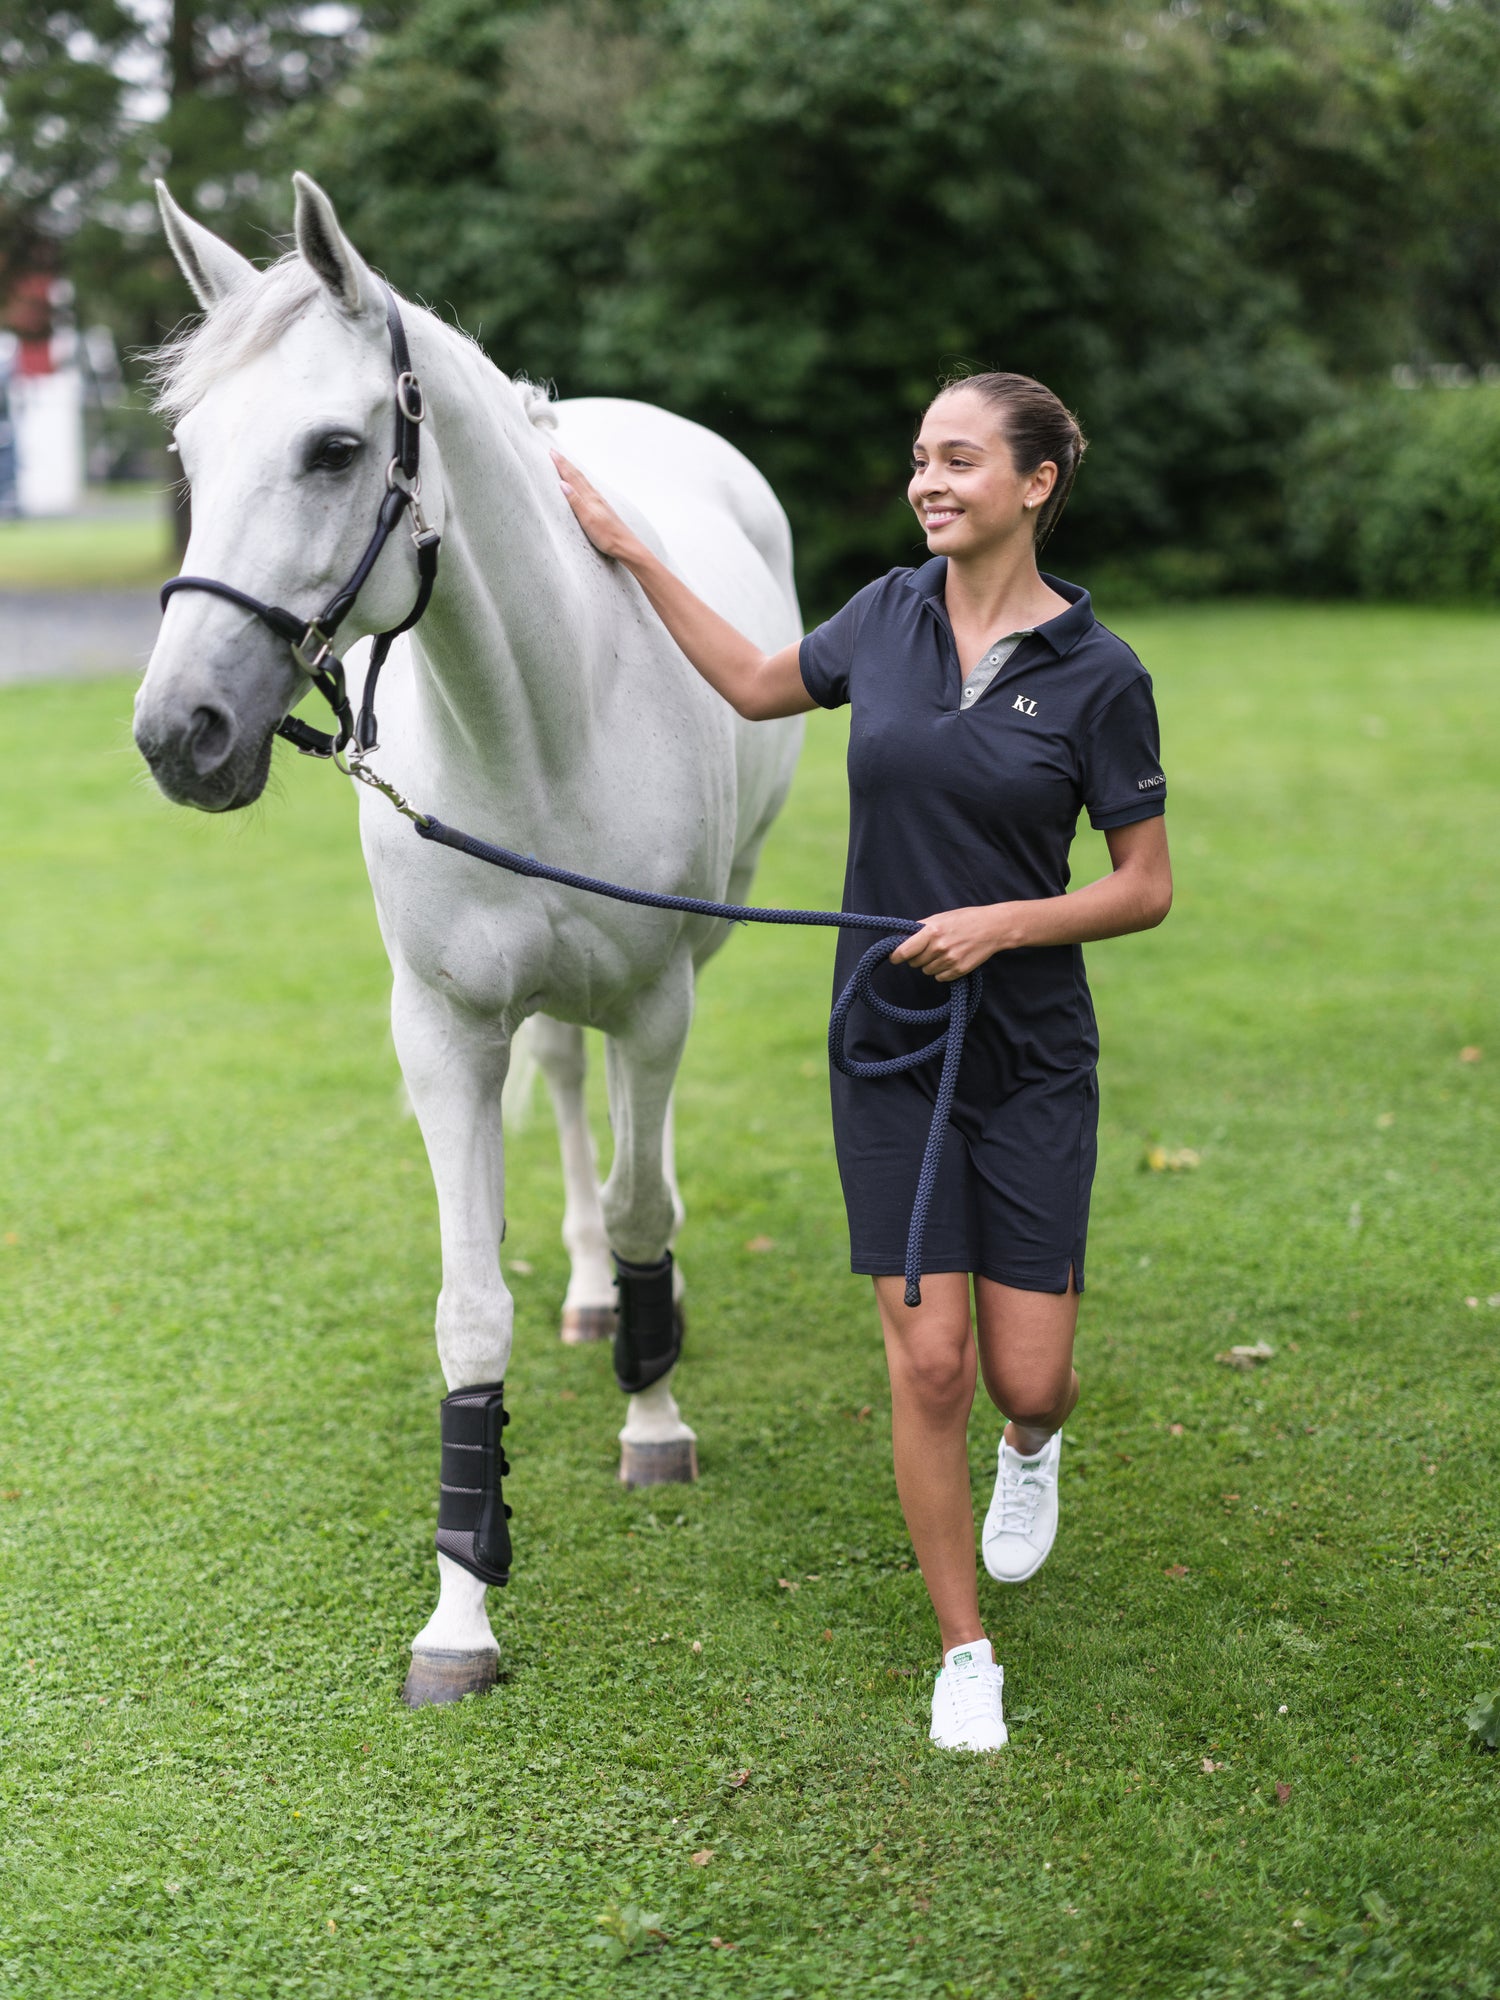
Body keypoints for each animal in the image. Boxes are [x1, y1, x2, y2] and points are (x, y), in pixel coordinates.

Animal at [135, 176, 804, 1704]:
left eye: (334, 449)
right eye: (190, 451)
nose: (178, 734)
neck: (541, 721)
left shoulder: (658, 1004)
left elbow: (645, 1203)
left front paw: (654, 1421)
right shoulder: (442, 1034)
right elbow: (468, 1309)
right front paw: (460, 1610)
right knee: (559, 1085)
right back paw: (589, 1301)